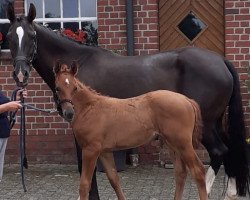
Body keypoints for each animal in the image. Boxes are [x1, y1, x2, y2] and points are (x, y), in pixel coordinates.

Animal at [54, 61, 207, 199]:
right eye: (57, 88)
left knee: (198, 171)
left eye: (74, 88)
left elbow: (85, 185)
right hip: (171, 144)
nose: (69, 113)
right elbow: (114, 179)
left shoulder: (90, 150)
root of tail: (187, 99)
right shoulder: (104, 151)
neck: (90, 108)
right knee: (180, 173)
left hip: (182, 144)